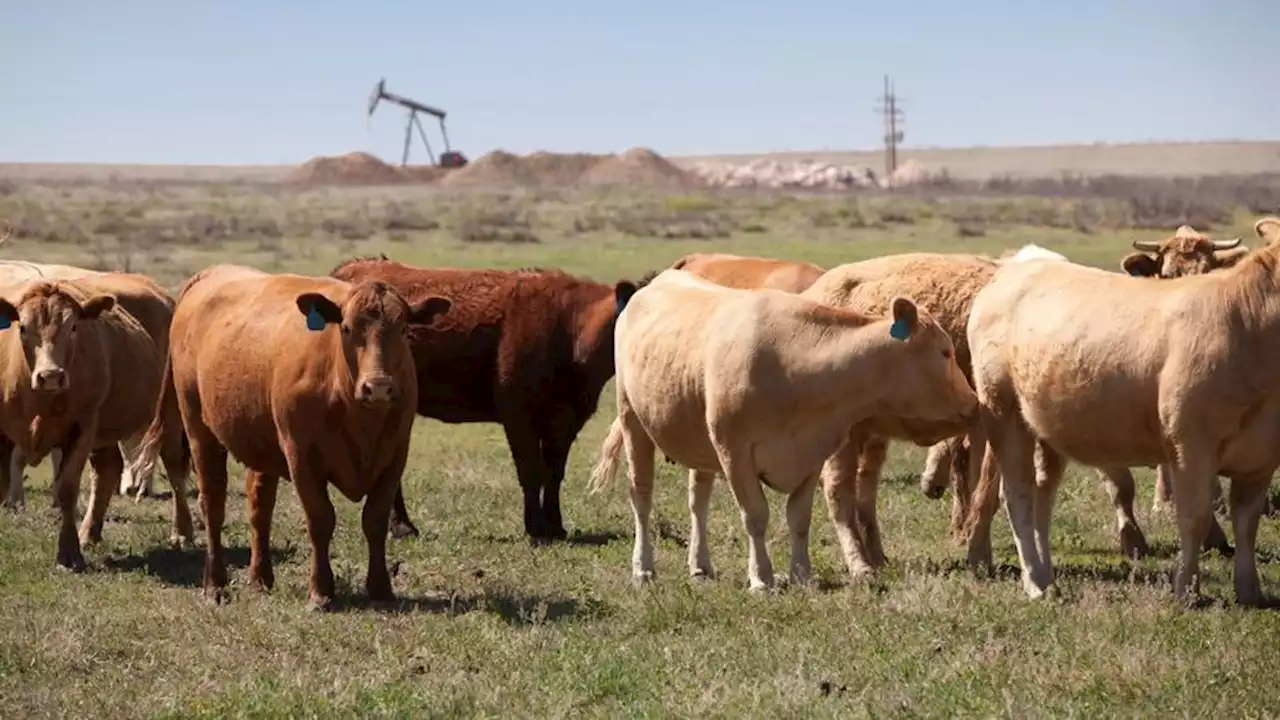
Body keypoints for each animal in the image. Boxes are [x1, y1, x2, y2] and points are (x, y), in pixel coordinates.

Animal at [0, 279, 193, 566]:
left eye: (73, 327)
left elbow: (67, 488)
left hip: (170, 414)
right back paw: (90, 533)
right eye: (22, 327)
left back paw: (181, 533)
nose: (51, 376)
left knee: (174, 466)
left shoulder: (82, 426)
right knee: (108, 469)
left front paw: (69, 554)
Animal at [128, 263, 450, 604]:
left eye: (403, 330)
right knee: (213, 504)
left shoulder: (394, 455)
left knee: (260, 506)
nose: (377, 386)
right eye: (347, 329)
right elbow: (320, 518)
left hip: (261, 443)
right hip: (199, 429)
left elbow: (374, 519)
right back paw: (215, 585)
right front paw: (321, 592)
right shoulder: (302, 455)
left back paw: (260, 578)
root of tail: (213, 273)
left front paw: (380, 588)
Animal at [586, 269, 972, 589]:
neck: (795, 367)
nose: (972, 404)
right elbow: (756, 516)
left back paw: (700, 565)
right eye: (945, 352)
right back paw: (644, 568)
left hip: (698, 440)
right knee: (641, 496)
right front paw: (761, 578)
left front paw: (802, 574)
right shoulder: (735, 453)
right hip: (632, 420)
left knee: (698, 500)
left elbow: (799, 518)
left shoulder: (813, 452)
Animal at [962, 215, 1280, 602]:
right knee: (1017, 494)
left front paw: (1250, 591)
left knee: (1042, 497)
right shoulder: (1190, 445)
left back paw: (1048, 575)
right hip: (1004, 412)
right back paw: (1035, 581)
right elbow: (1194, 517)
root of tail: (1008, 275)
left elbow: (1247, 523)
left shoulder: (1261, 457)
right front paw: (1186, 590)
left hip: (1047, 427)